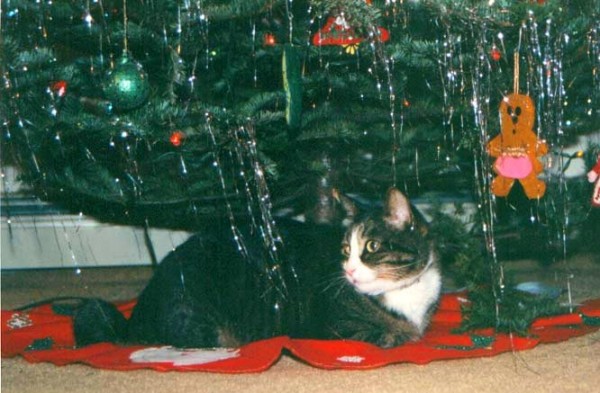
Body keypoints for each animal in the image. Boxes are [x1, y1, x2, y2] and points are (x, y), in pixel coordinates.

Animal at [74, 187, 440, 346]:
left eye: (372, 247)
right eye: (346, 249)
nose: (348, 270)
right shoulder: (329, 327)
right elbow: (392, 335)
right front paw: (402, 333)